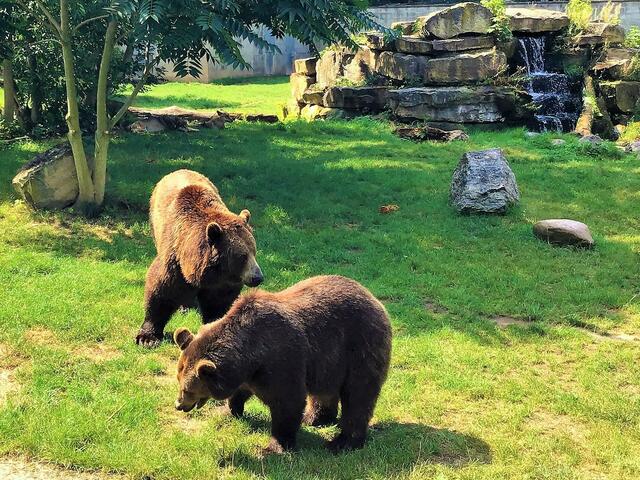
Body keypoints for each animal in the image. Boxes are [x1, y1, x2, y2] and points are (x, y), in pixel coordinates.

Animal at [136, 169, 263, 348]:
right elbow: (161, 290)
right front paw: (147, 337)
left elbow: (219, 302)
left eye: (254, 251)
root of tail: (179, 170)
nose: (258, 277)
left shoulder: (222, 282)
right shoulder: (174, 260)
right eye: (242, 256)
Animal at [173, 275, 392, 454]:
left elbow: (287, 401)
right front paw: (229, 410)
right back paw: (314, 418)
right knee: (324, 392)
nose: (179, 404)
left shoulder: (282, 360)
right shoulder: (249, 374)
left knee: (358, 395)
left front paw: (276, 446)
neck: (252, 354)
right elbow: (240, 391)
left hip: (360, 347)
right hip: (329, 362)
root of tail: (375, 300)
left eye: (189, 389)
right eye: (179, 380)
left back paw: (342, 442)